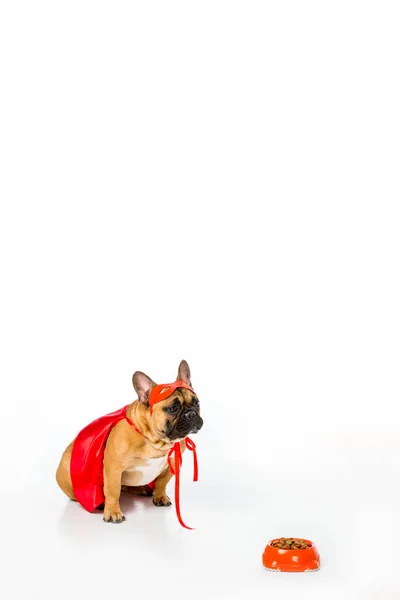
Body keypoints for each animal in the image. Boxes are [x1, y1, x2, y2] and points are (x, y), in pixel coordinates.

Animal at [54, 358, 202, 524]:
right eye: (173, 408)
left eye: (197, 403)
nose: (191, 414)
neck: (154, 441)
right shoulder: (114, 468)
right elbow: (113, 491)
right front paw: (112, 512)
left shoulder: (172, 464)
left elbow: (161, 483)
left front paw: (160, 496)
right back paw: (100, 503)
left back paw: (141, 489)